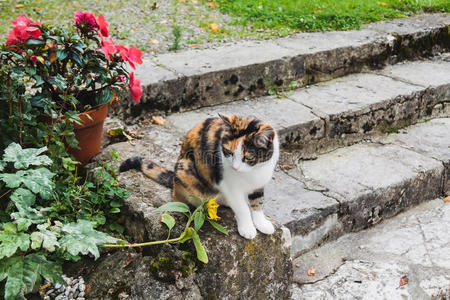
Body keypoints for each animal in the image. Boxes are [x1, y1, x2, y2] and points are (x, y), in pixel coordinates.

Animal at [121, 114, 280, 239]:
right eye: (228, 152)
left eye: (247, 157)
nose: (235, 167)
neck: (253, 171)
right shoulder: (228, 183)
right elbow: (242, 208)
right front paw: (247, 228)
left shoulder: (259, 183)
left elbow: (258, 202)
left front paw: (261, 223)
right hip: (185, 168)